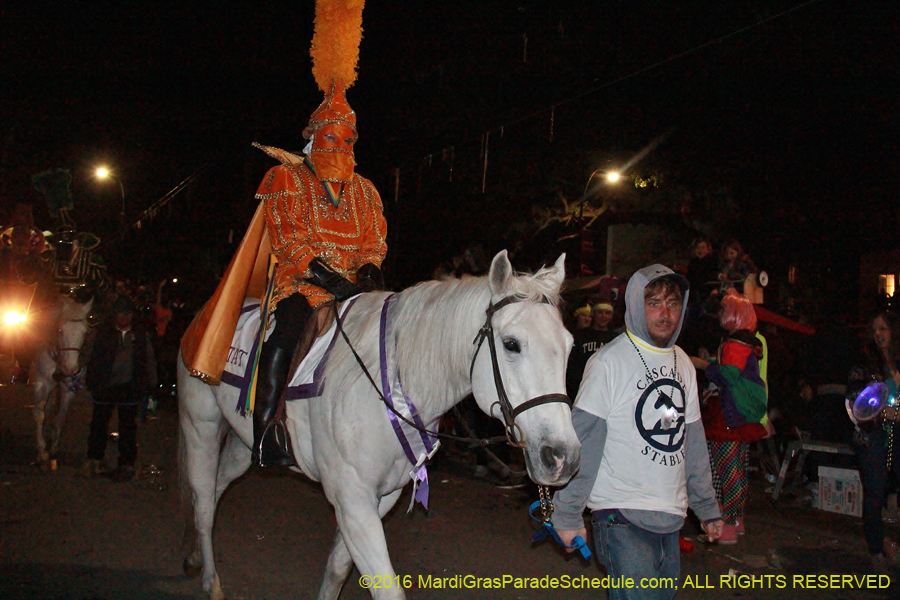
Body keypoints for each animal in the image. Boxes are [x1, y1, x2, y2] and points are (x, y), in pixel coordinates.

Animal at [31, 290, 93, 464]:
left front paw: (53, 447)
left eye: (84, 332)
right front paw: (42, 451)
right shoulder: (41, 383)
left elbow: (61, 417)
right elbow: (38, 414)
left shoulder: (68, 387)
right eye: (60, 331)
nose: (70, 369)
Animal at [179, 251, 580, 600]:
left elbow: (338, 568)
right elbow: (386, 589)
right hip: (200, 427)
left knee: (217, 488)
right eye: (511, 344)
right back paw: (211, 583)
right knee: (203, 501)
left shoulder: (382, 497)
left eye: (570, 346)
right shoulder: (353, 499)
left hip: (243, 443)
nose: (563, 458)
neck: (391, 377)